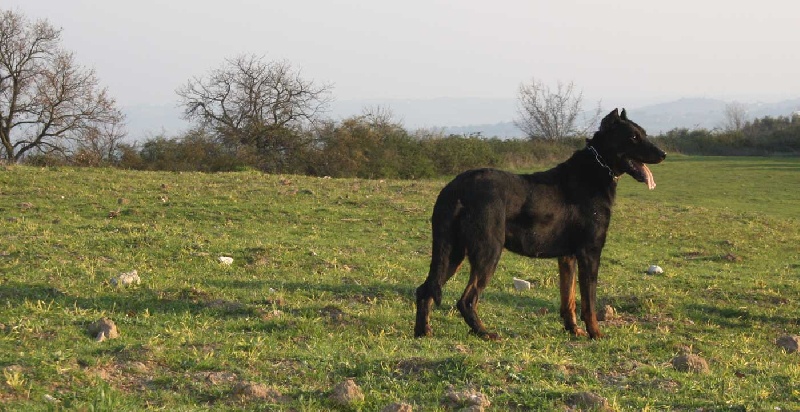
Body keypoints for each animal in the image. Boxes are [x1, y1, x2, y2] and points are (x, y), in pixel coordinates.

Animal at [414, 109, 666, 340]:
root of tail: (455, 188)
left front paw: (573, 330)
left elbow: (569, 300)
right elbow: (589, 303)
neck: (597, 168)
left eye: (643, 133)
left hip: (452, 253)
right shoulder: (590, 253)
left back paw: (423, 332)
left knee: (425, 290)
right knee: (466, 300)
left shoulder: (568, 257)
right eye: (633, 137)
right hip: (488, 252)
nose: (663, 154)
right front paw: (596, 333)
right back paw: (484, 333)